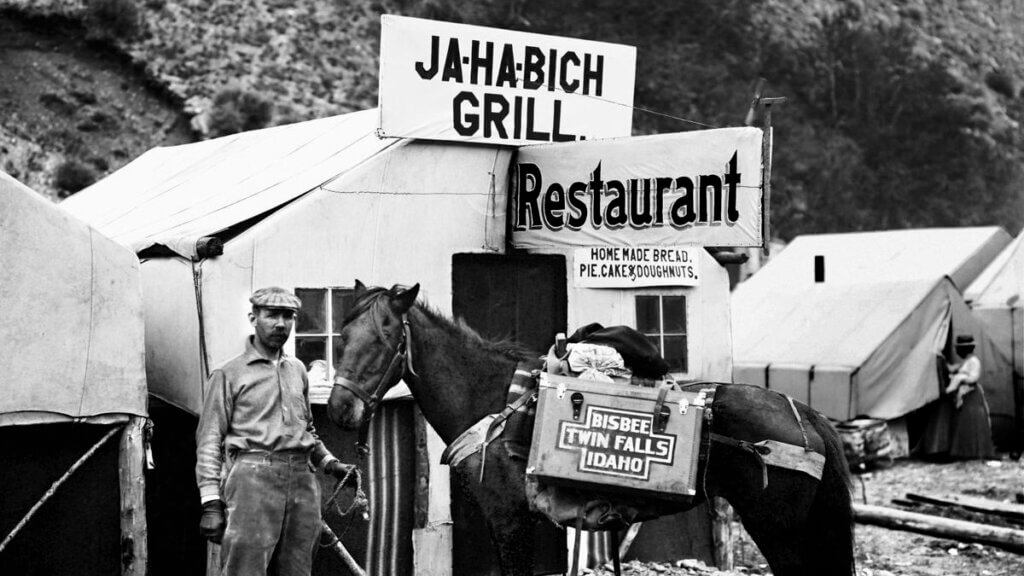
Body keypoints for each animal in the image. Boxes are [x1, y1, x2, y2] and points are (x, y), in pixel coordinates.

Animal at [327, 282, 856, 573]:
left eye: (386, 335)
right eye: (344, 334)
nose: (338, 409)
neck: (492, 400)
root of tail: (804, 415)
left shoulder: (509, 518)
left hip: (780, 530)